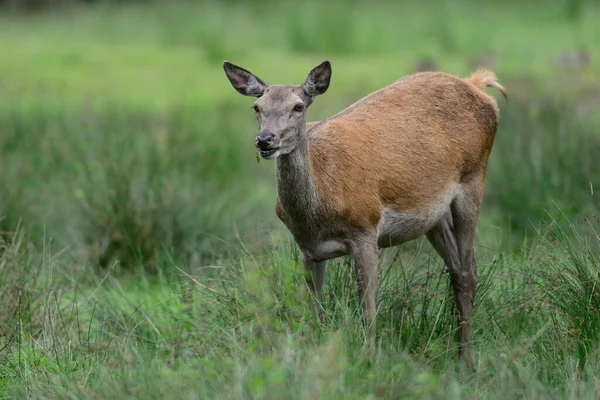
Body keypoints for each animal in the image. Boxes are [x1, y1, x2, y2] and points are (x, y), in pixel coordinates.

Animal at [223, 60, 504, 372]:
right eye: (256, 107)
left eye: (298, 106)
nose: (265, 140)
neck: (317, 210)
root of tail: (479, 85)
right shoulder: (308, 249)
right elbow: (313, 307)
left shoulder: (365, 227)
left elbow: (366, 309)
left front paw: (369, 360)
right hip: (434, 215)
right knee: (455, 269)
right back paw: (460, 353)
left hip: (474, 178)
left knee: (468, 271)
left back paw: (466, 362)